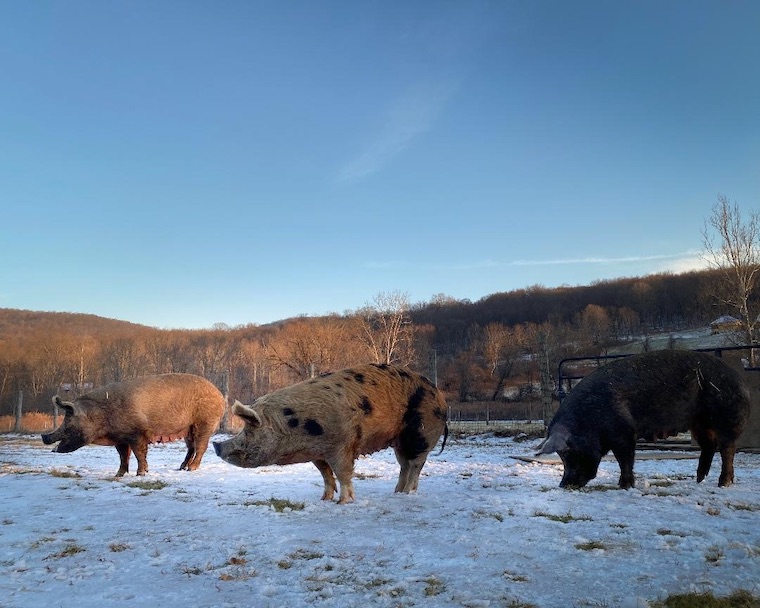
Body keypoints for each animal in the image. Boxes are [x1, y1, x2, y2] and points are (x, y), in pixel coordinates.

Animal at [42, 373, 226, 476]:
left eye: (68, 423)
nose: (44, 436)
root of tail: (219, 395)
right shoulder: (120, 438)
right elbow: (123, 456)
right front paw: (119, 475)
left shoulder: (137, 433)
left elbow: (139, 453)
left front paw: (141, 474)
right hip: (188, 428)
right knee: (191, 448)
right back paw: (181, 468)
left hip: (204, 422)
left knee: (201, 447)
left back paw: (191, 469)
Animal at [213, 363, 448, 503]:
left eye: (249, 429)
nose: (216, 445)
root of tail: (441, 397)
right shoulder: (317, 453)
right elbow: (325, 474)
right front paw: (324, 499)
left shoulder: (342, 445)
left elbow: (343, 473)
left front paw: (343, 502)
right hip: (399, 441)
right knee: (404, 465)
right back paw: (396, 492)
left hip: (421, 435)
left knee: (416, 465)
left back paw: (408, 493)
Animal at [538, 350, 751, 489]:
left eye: (567, 454)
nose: (563, 485)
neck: (589, 421)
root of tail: (740, 381)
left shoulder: (624, 433)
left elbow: (624, 459)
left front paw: (624, 486)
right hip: (699, 423)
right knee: (709, 446)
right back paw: (699, 479)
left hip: (726, 417)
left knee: (727, 449)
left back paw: (723, 483)